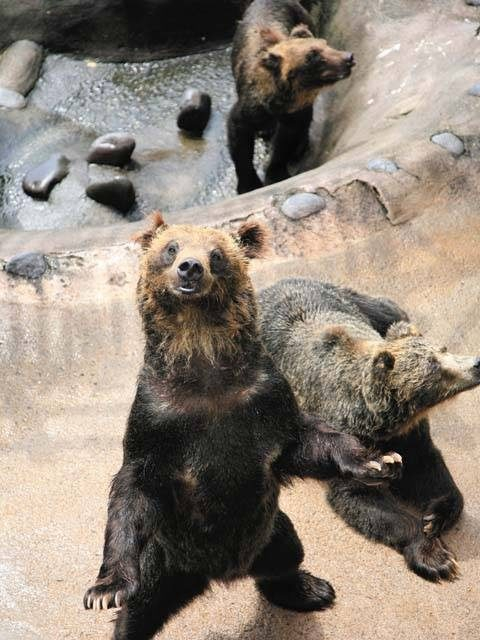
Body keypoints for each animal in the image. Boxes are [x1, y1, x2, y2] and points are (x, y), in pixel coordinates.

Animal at [83, 216, 402, 640]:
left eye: (217, 254)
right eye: (171, 248)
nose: (190, 267)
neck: (206, 376)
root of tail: (218, 574)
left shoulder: (264, 399)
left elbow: (303, 441)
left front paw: (378, 460)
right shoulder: (156, 419)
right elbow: (133, 488)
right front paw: (105, 588)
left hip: (269, 531)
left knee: (287, 555)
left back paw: (310, 589)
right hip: (164, 558)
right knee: (141, 606)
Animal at [227, 0, 354, 192]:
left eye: (326, 44)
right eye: (313, 55)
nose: (348, 58)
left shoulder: (295, 112)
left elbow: (286, 141)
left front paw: (276, 174)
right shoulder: (251, 108)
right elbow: (240, 141)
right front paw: (248, 184)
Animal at [260, 278, 480, 584]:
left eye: (443, 349)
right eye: (436, 368)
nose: (476, 363)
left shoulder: (411, 436)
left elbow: (429, 468)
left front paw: (434, 516)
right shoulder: (349, 437)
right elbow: (360, 496)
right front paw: (436, 558)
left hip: (356, 300)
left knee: (391, 310)